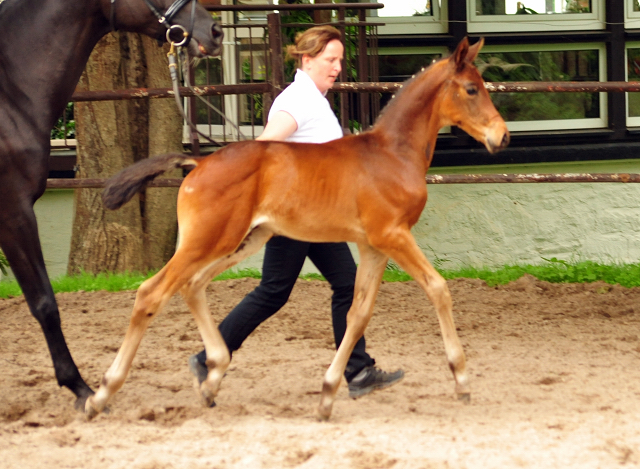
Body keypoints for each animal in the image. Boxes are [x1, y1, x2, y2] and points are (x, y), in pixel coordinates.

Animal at [90, 37, 510, 420]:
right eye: (471, 89)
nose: (502, 136)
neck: (392, 154)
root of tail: (198, 162)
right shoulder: (393, 235)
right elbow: (438, 289)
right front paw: (462, 379)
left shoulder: (373, 246)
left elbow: (357, 313)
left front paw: (328, 393)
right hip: (206, 241)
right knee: (151, 293)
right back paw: (102, 394)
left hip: (243, 240)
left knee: (193, 286)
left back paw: (211, 377)